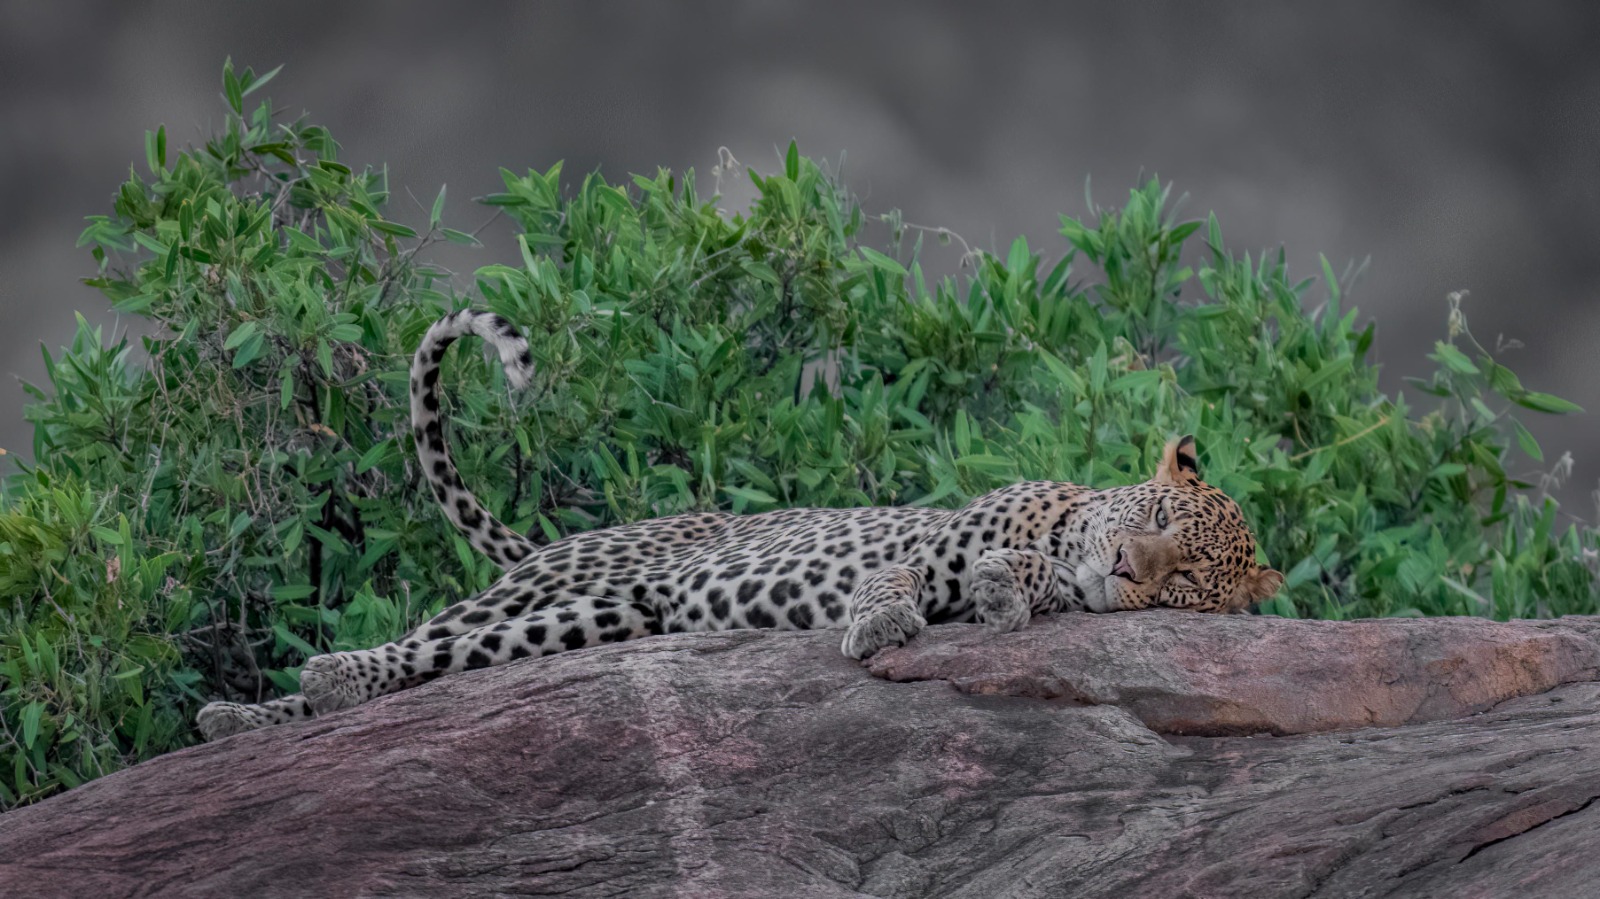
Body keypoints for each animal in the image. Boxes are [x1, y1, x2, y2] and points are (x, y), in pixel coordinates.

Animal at [196, 310, 1283, 740]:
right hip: (565, 586)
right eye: (1152, 515)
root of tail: (555, 543)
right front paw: (881, 623)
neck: (1063, 525)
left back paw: (281, 703)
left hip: (606, 615)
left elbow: (1024, 586)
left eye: (1188, 579)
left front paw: (1008, 592)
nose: (1129, 570)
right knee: (423, 638)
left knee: (445, 658)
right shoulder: (922, 541)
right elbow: (894, 577)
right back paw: (287, 694)